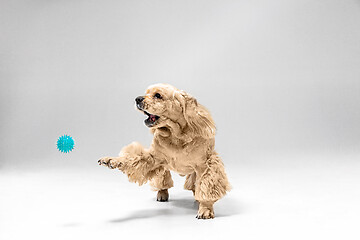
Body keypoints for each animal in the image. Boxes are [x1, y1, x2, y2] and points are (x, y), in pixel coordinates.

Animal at [97, 83, 231, 218]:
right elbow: (131, 158)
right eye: (146, 93)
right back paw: (162, 194)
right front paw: (111, 160)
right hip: (163, 168)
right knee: (163, 182)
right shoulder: (152, 158)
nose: (137, 99)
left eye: (158, 95)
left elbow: (205, 187)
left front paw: (205, 209)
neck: (176, 136)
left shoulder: (205, 165)